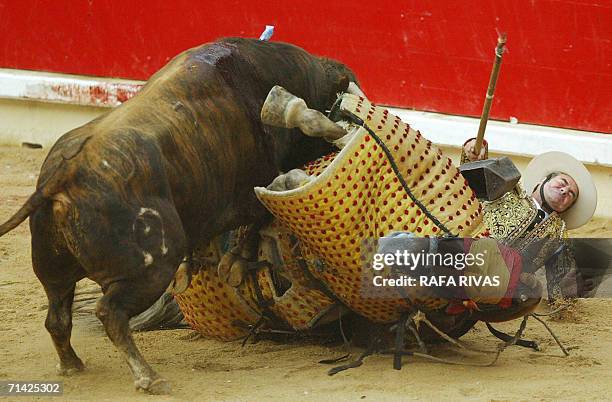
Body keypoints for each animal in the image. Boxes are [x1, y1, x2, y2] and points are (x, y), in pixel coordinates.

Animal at [0, 36, 354, 394]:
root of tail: (64, 174)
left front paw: (204, 262)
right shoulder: (256, 183)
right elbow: (255, 219)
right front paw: (233, 263)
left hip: (53, 269)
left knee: (57, 317)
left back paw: (73, 365)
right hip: (151, 270)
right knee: (109, 312)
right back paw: (149, 377)